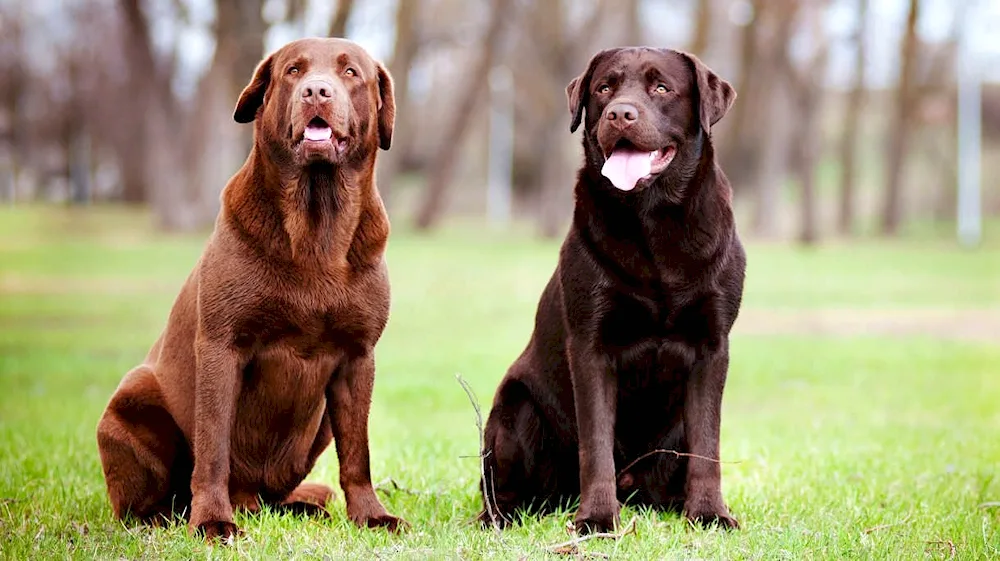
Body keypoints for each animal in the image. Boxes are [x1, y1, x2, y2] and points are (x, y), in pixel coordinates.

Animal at [94, 38, 402, 540]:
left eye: (351, 72)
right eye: (294, 70)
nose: (316, 91)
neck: (316, 227)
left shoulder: (359, 357)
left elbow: (358, 453)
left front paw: (370, 515)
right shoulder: (222, 347)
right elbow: (214, 448)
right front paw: (212, 521)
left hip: (318, 426)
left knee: (276, 494)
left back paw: (298, 507)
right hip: (132, 399)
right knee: (147, 499)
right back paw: (170, 516)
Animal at [480, 46, 748, 532]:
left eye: (661, 88)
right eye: (604, 87)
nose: (620, 113)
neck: (653, 219)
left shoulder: (712, 344)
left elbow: (707, 445)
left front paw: (710, 514)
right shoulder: (591, 345)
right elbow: (596, 444)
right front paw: (599, 519)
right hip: (516, 406)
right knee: (501, 486)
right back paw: (499, 517)